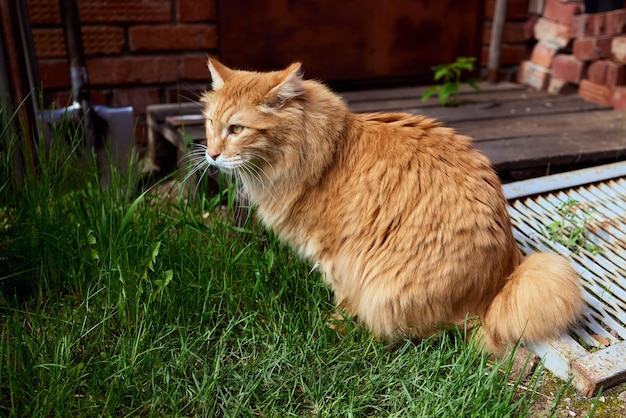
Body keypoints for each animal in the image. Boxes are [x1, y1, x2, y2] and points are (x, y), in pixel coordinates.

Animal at [200, 58, 580, 352]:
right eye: (210, 124)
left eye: (236, 129)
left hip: (391, 289)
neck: (328, 151)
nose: (212, 154)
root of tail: (502, 279)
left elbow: (344, 297)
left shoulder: (337, 254)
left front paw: (335, 324)